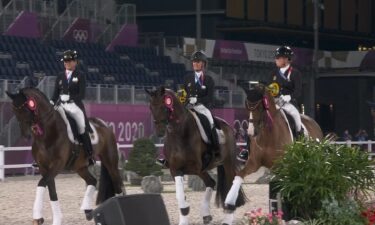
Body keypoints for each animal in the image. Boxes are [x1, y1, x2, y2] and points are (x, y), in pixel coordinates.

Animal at [5, 87, 125, 225]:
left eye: (26, 109)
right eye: (14, 111)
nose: (26, 135)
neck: (48, 134)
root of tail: (103, 124)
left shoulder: (57, 165)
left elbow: (41, 183)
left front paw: (37, 216)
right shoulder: (43, 167)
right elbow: (51, 192)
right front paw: (51, 219)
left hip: (110, 161)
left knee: (117, 183)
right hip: (80, 167)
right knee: (92, 181)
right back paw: (87, 211)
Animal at [147, 87, 247, 225]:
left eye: (164, 107)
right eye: (151, 107)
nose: (160, 132)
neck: (179, 133)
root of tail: (225, 124)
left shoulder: (193, 167)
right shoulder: (174, 169)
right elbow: (180, 195)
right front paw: (184, 217)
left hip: (227, 163)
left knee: (230, 184)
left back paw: (228, 216)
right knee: (211, 182)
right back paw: (206, 215)